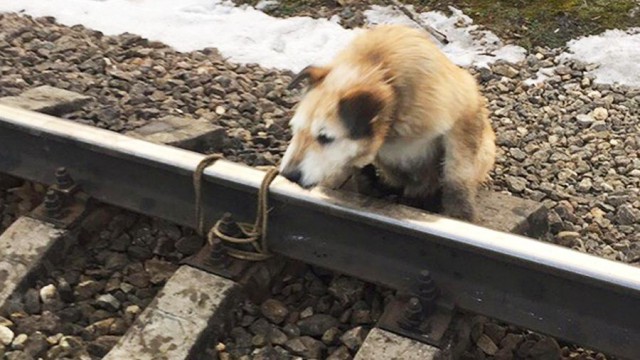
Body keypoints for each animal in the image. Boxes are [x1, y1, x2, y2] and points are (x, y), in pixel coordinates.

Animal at [278, 24, 496, 222]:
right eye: (295, 130)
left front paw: (460, 214)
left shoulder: (464, 116)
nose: (288, 175)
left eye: (325, 137)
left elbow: (456, 174)